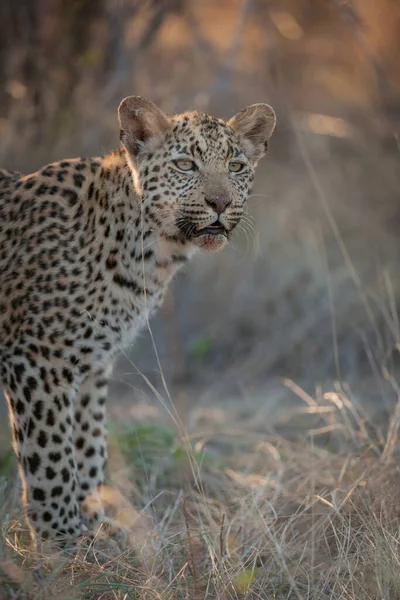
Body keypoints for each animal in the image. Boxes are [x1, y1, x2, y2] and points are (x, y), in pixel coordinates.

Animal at [0, 97, 276, 544]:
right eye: (185, 165)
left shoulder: (93, 364)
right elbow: (50, 454)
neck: (150, 253)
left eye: (235, 166)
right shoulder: (37, 361)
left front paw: (96, 524)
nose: (220, 203)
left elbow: (88, 444)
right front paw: (62, 539)